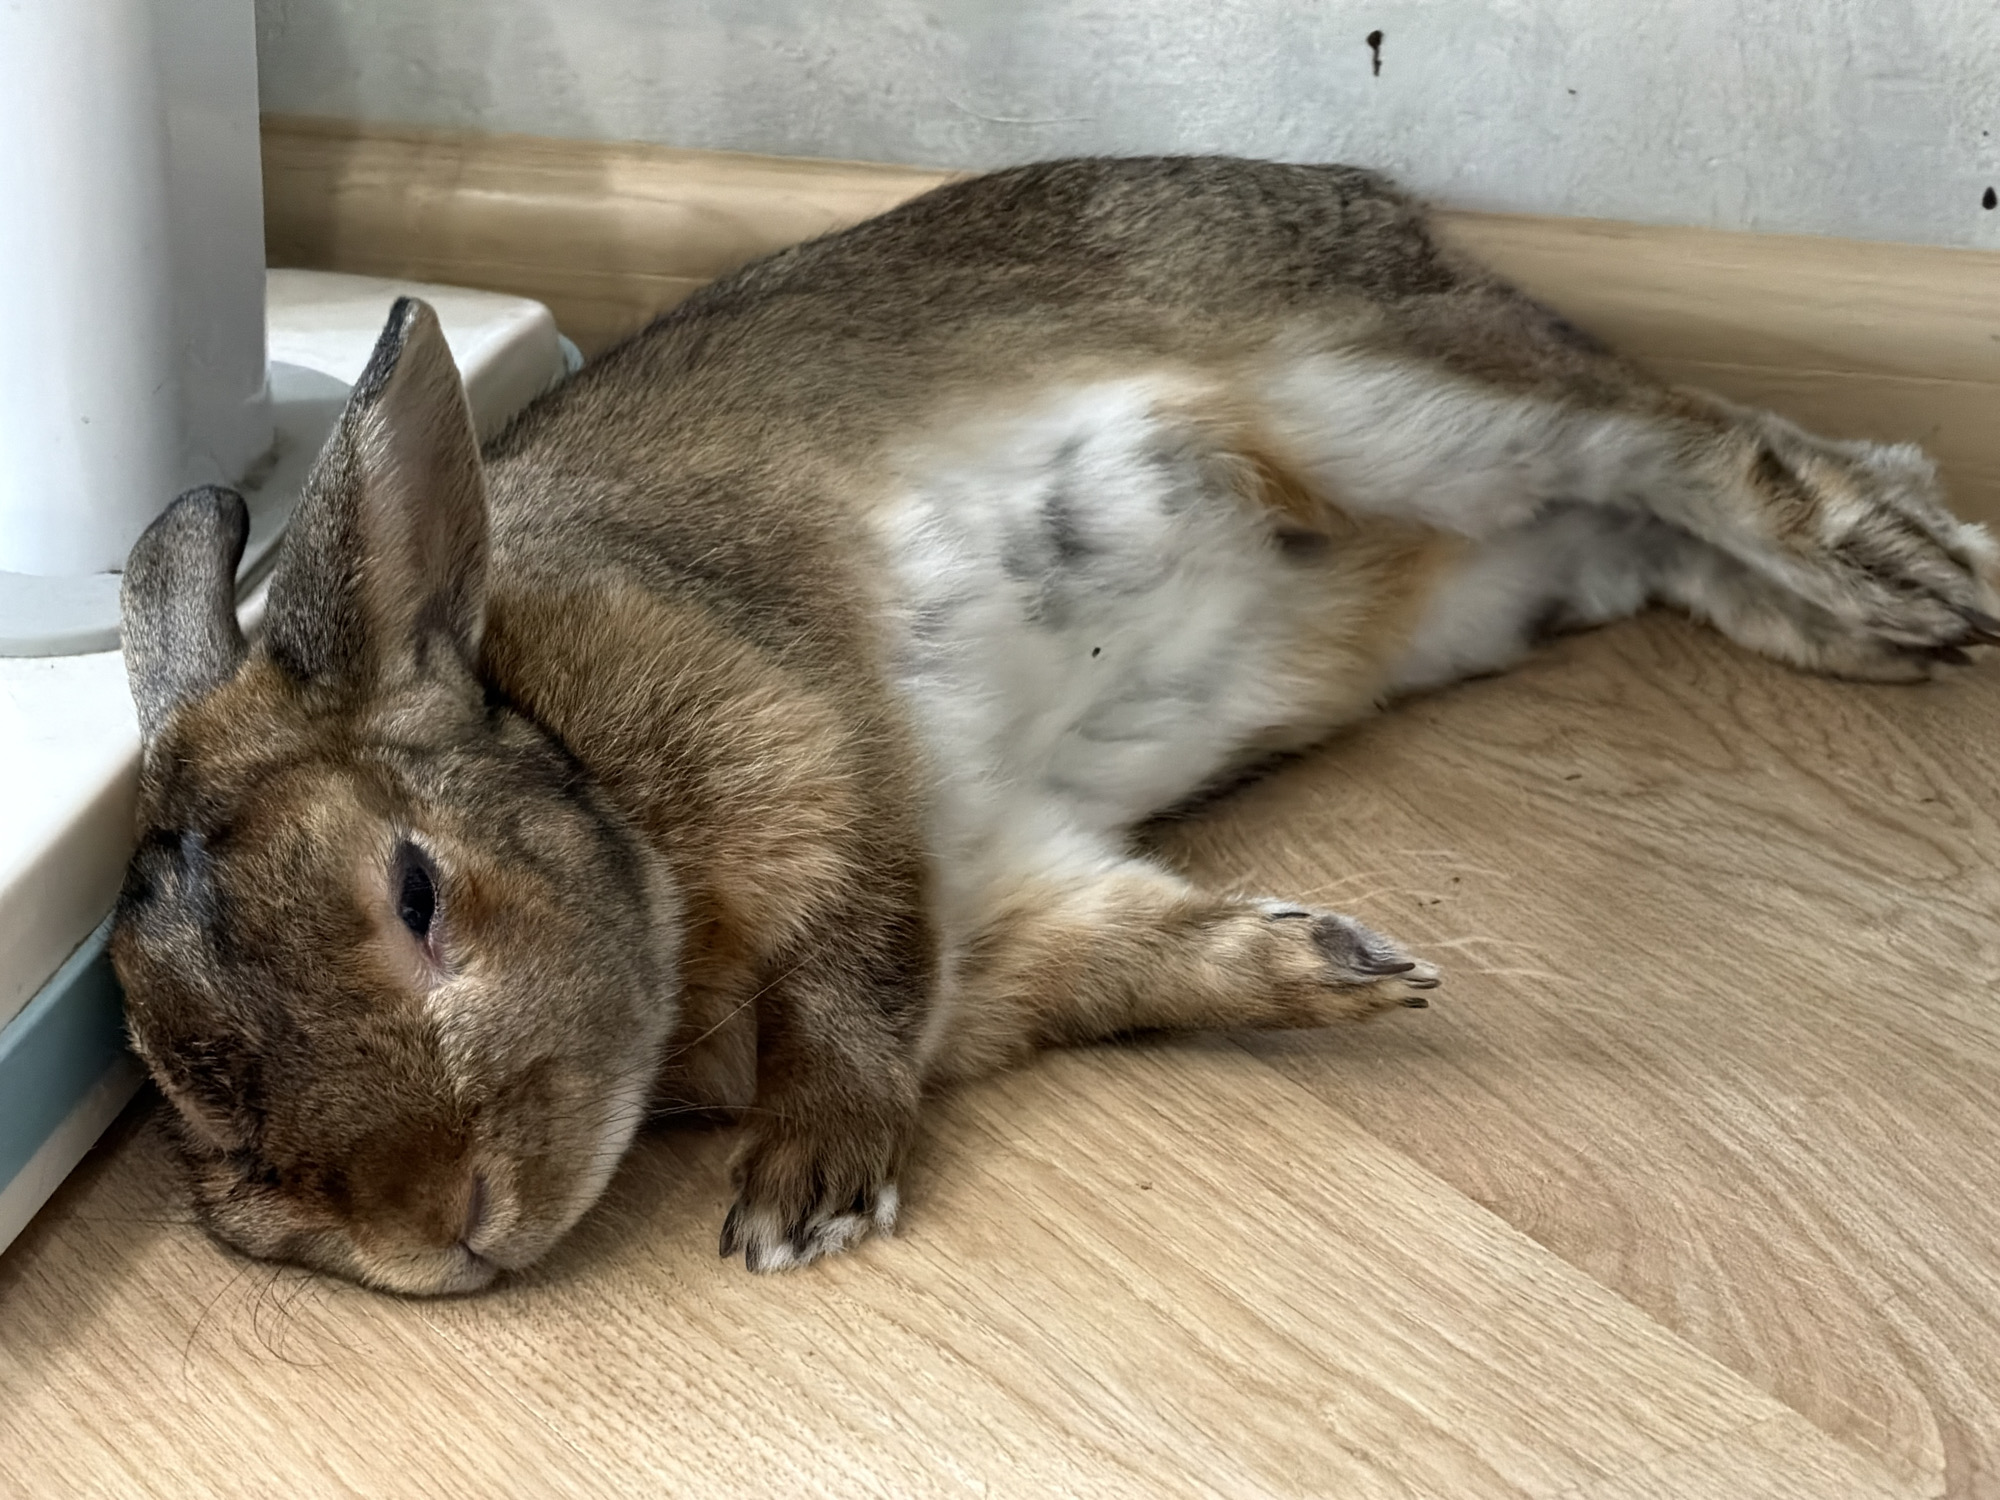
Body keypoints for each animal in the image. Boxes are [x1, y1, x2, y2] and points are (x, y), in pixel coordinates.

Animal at [113, 157, 2000, 1294]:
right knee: (1644, 524)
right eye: (208, 1131)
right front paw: (1332, 967)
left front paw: (808, 1191)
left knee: (1692, 438)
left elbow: (845, 981)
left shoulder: (818, 759)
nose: (445, 1239)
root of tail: (1387, 212)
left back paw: (1906, 568)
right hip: (1499, 563)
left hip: (1390, 395)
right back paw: (1859, 620)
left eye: (417, 893)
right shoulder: (1005, 899)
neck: (594, 779)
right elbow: (1135, 949)